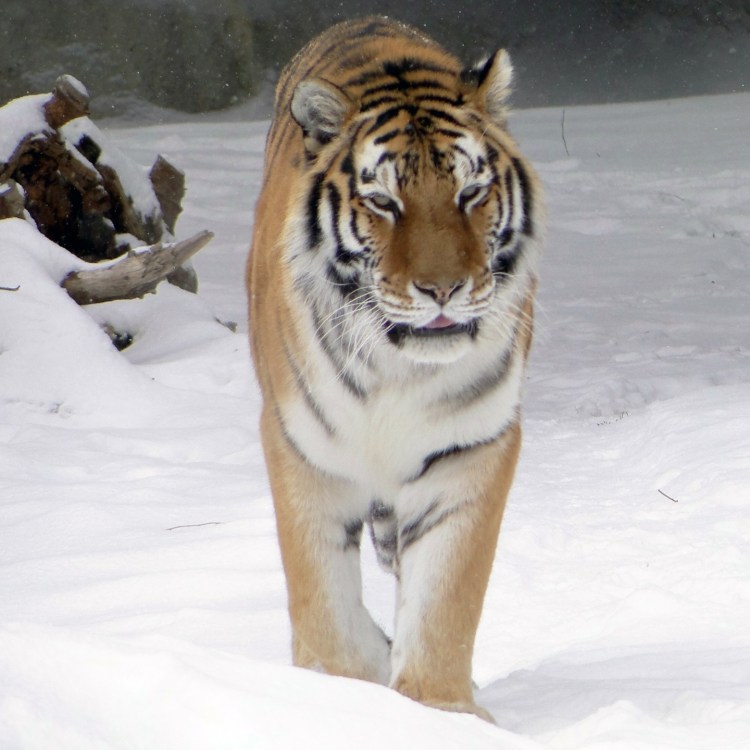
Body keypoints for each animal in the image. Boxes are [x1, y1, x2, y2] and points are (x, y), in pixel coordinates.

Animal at [246, 16, 542, 722]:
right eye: (384, 202)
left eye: (470, 193)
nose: (443, 290)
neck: (397, 369)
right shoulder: (303, 449)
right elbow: (323, 598)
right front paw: (341, 691)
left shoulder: (472, 447)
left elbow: (445, 600)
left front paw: (441, 711)